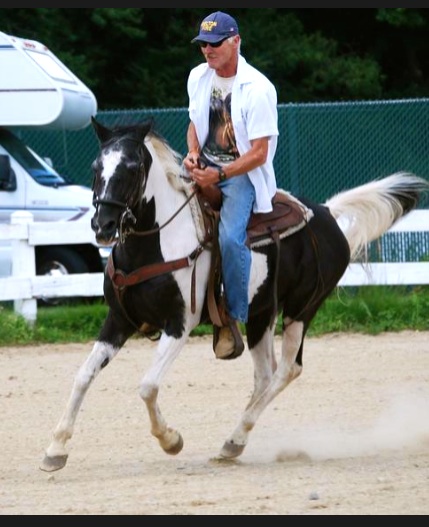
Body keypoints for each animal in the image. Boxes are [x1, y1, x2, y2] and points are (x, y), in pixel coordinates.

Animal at [41, 117, 428, 472]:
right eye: (96, 167)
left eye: (133, 168)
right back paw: (234, 440)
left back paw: (234, 439)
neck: (155, 244)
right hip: (261, 314)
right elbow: (83, 375)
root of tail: (327, 213)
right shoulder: (119, 319)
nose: (103, 226)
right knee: (265, 375)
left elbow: (148, 385)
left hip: (302, 309)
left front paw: (171, 440)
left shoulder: (180, 323)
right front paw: (56, 448)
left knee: (287, 370)